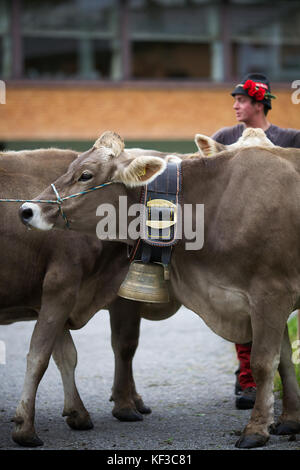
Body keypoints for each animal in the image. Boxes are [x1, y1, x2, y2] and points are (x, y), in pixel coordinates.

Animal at [0, 148, 183, 448]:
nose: (26, 211)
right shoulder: (62, 287)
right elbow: (40, 356)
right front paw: (25, 426)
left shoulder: (57, 298)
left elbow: (66, 355)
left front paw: (78, 412)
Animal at [21, 131, 300, 448]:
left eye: (85, 175)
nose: (27, 210)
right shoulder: (265, 299)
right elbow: (284, 360)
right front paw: (289, 420)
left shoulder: (271, 293)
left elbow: (265, 362)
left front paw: (256, 429)